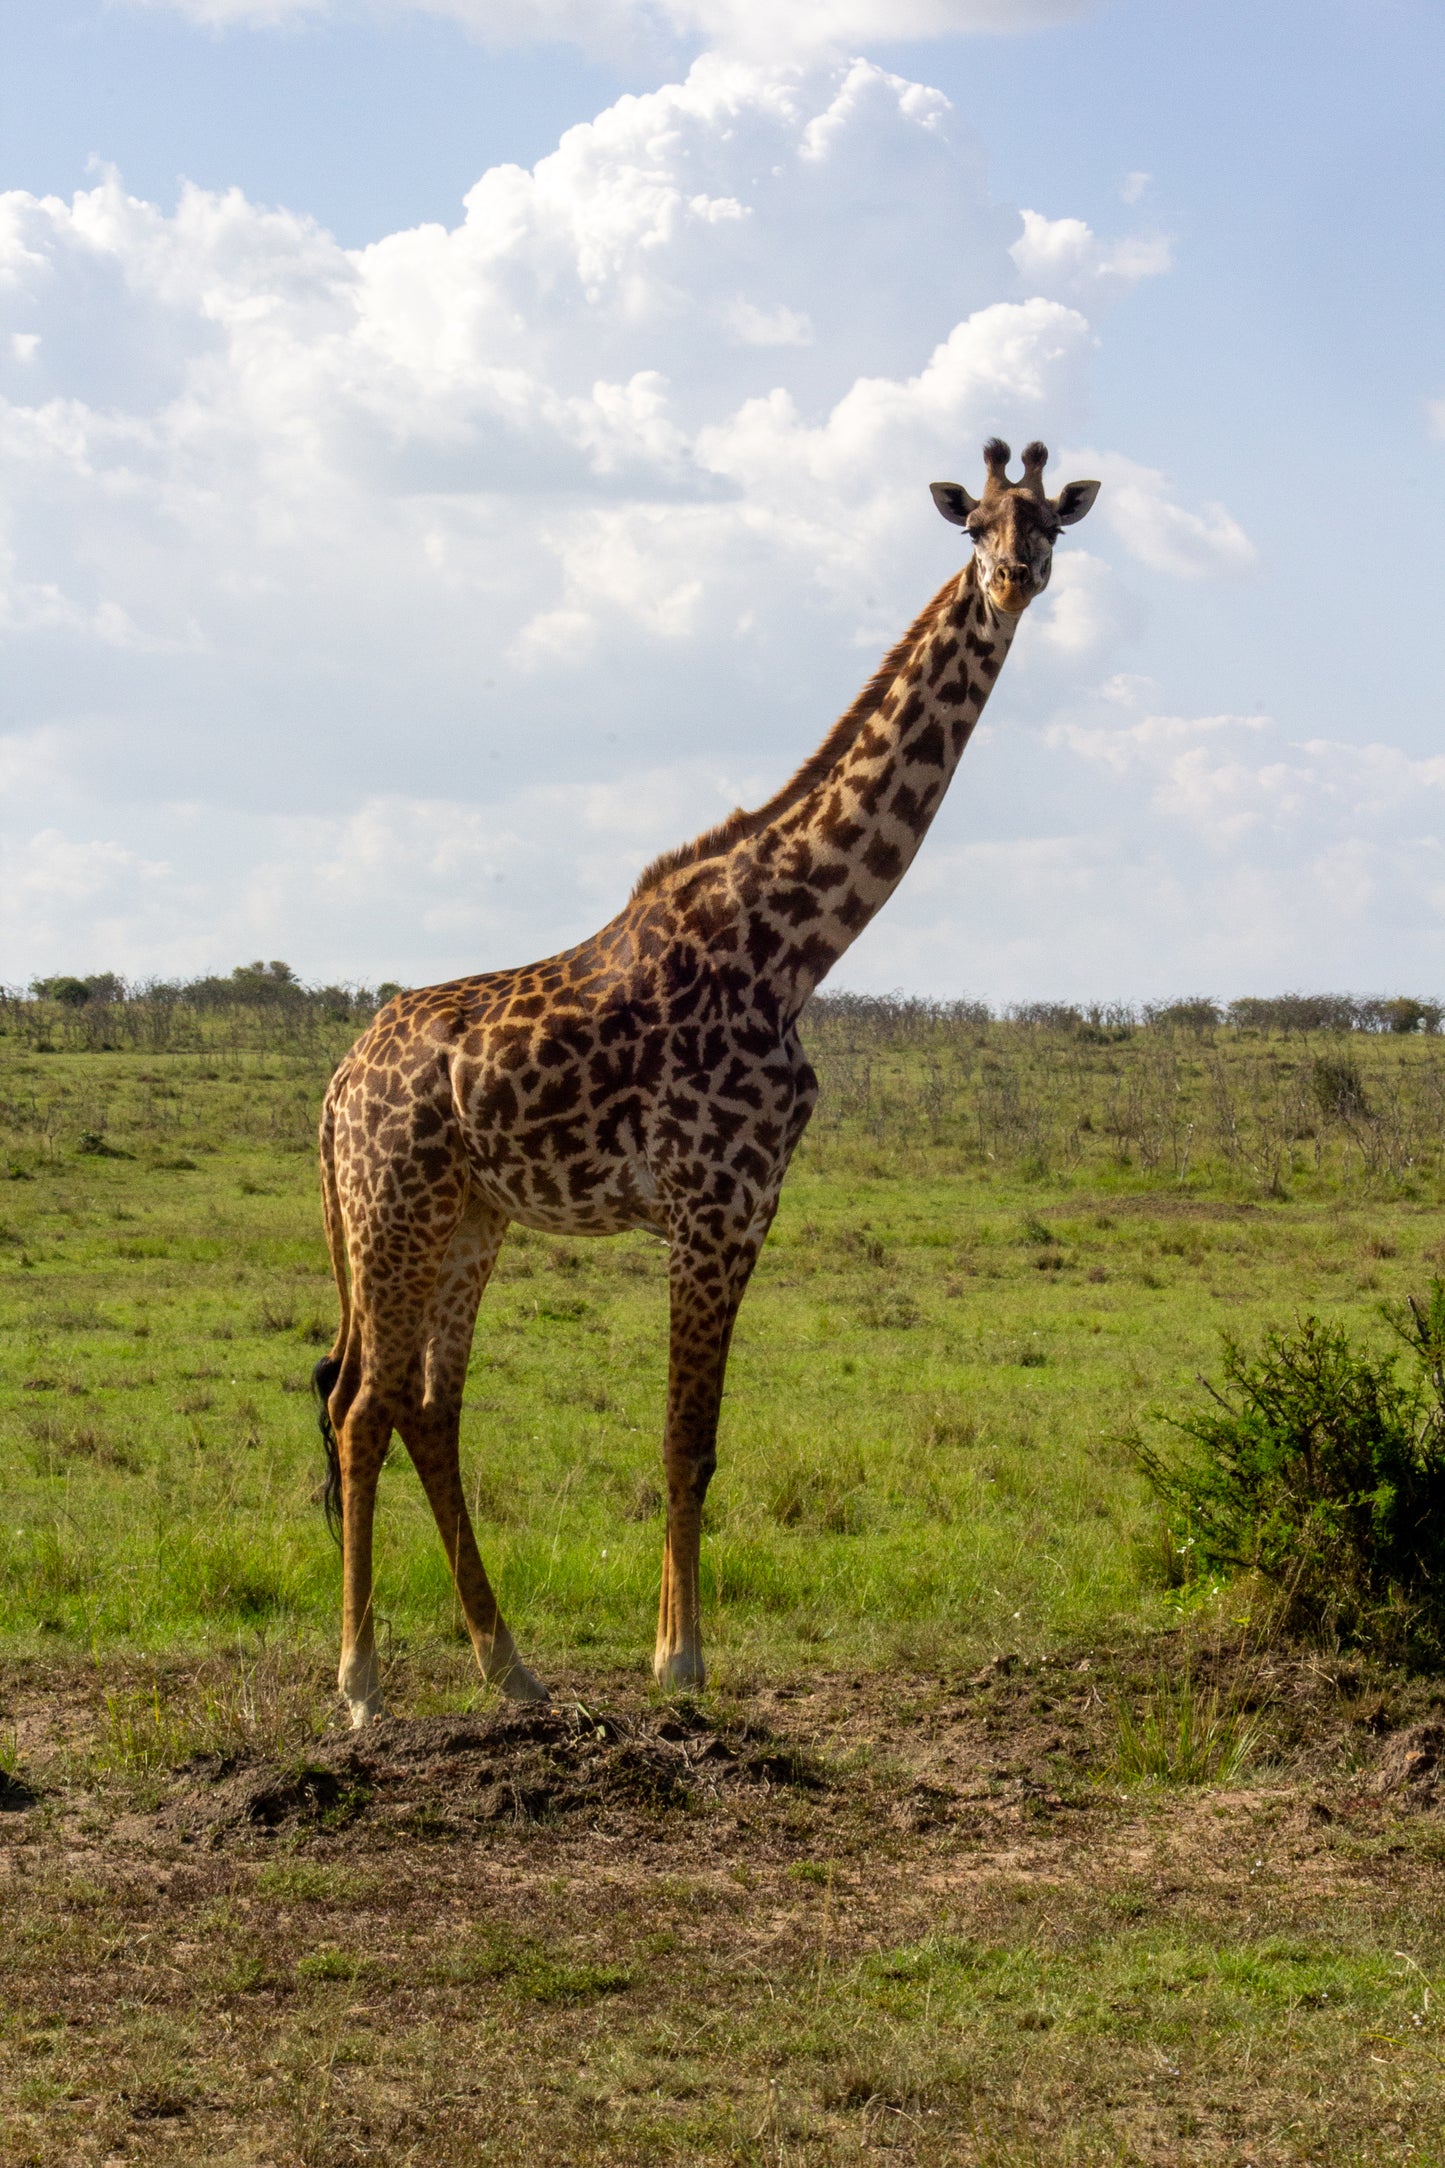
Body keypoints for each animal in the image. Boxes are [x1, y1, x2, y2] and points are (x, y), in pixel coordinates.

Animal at [315, 438, 1099, 1725]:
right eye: (973, 522)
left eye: (1049, 522)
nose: (1014, 576)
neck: (793, 946)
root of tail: (333, 1090)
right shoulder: (708, 1203)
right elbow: (686, 1436)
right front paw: (680, 1662)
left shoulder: (750, 1206)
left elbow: (702, 1436)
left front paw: (672, 1651)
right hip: (395, 1210)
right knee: (360, 1405)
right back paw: (362, 1682)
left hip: (469, 1219)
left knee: (428, 1408)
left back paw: (509, 1664)